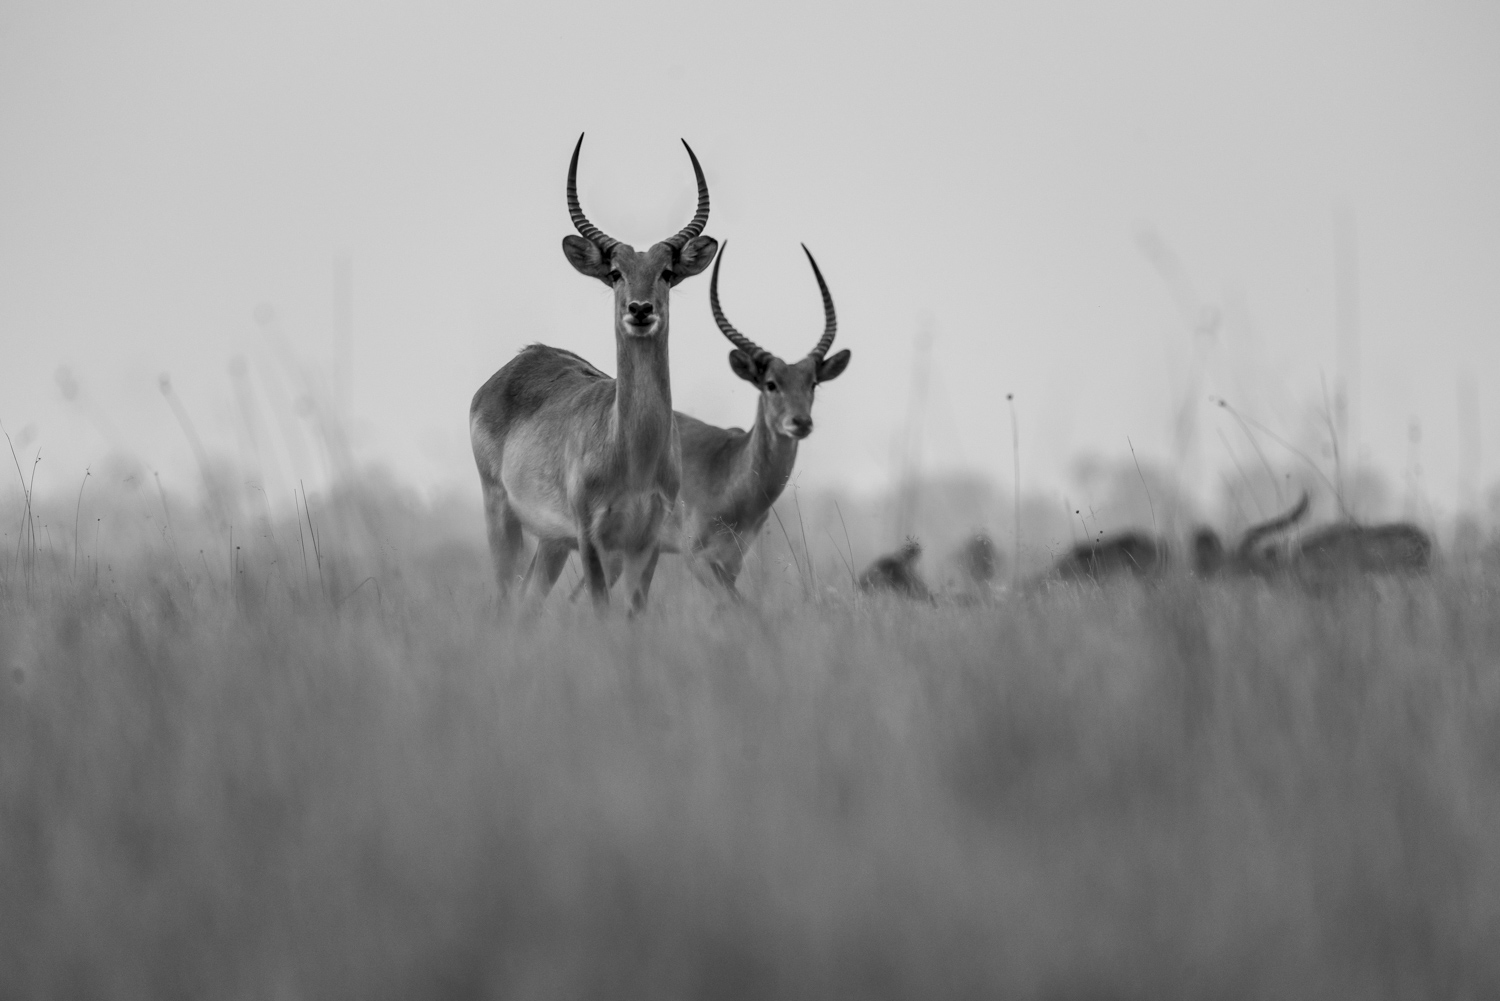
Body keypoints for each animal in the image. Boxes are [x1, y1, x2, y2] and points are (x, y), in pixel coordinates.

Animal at [474, 135, 720, 612]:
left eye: (666, 273)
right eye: (615, 272)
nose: (640, 309)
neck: (633, 453)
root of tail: (519, 361)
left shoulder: (644, 543)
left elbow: (633, 613)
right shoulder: (591, 537)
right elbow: (602, 612)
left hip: (551, 543)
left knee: (527, 605)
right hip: (502, 517)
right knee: (505, 599)